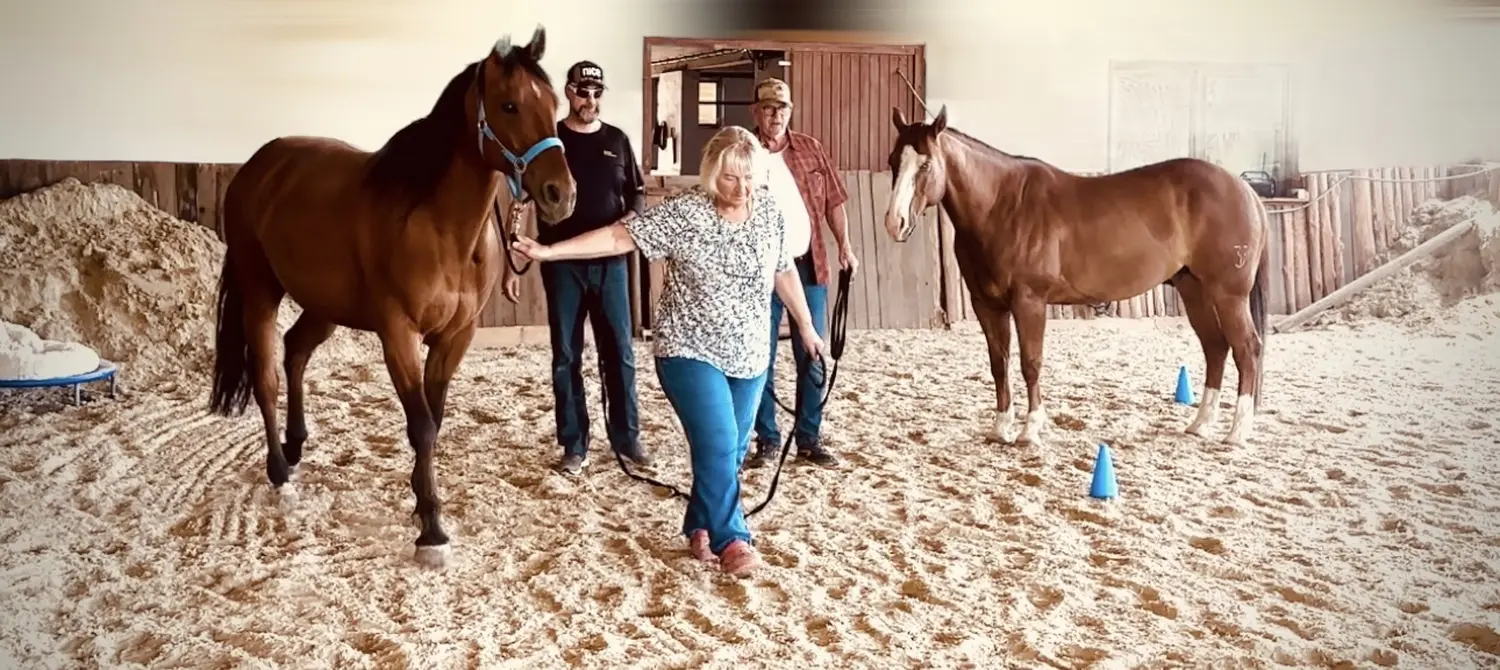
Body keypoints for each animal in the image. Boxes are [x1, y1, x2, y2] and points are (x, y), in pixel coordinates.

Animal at [211, 27, 579, 572]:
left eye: (555, 104)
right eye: (510, 105)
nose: (561, 194)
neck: (440, 226)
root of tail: (257, 166)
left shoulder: (455, 337)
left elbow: (434, 418)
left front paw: (420, 498)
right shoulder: (399, 334)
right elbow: (421, 425)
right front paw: (431, 529)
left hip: (324, 306)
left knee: (296, 351)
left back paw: (296, 447)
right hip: (260, 293)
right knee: (266, 377)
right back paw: (279, 471)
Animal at [882, 104, 1272, 449]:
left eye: (926, 163)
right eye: (892, 161)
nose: (894, 223)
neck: (1002, 206)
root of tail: (1246, 191)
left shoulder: (1029, 302)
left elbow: (1030, 364)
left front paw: (1030, 431)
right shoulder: (988, 306)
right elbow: (999, 364)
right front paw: (999, 429)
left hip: (1228, 295)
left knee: (1246, 348)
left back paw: (1237, 433)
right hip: (1195, 292)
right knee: (1216, 348)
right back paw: (1200, 425)